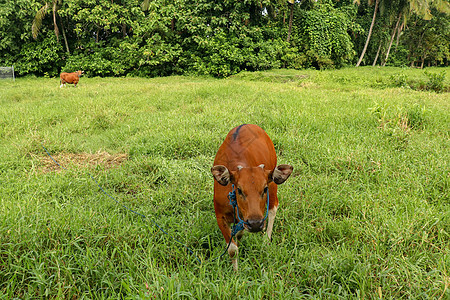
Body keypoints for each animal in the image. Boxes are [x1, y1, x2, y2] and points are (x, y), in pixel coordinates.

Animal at [210, 123, 292, 270]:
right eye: (239, 189)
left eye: (264, 188)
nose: (255, 224)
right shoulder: (220, 216)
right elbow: (233, 249)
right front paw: (235, 271)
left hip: (274, 183)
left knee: (273, 208)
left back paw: (266, 241)